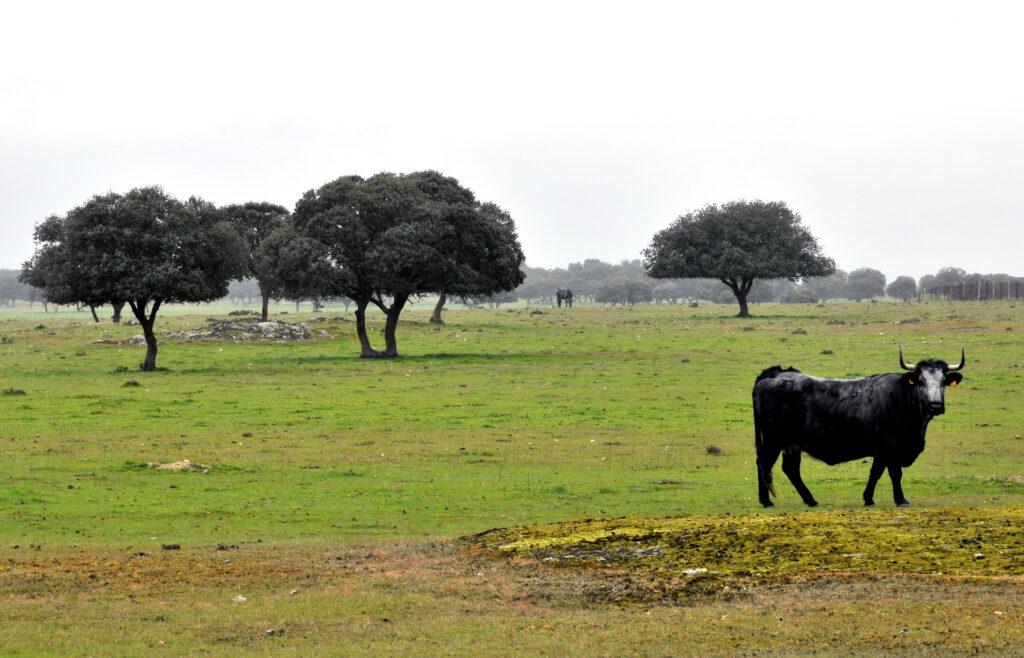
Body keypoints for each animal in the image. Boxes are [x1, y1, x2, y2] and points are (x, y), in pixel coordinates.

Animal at [752, 347, 964, 508]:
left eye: (943, 381)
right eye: (921, 381)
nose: (935, 405)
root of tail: (775, 373)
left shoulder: (881, 451)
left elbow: (875, 472)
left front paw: (868, 498)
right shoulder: (891, 448)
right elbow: (895, 474)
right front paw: (901, 499)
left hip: (791, 444)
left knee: (791, 469)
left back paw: (810, 500)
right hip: (773, 441)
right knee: (764, 464)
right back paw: (766, 501)